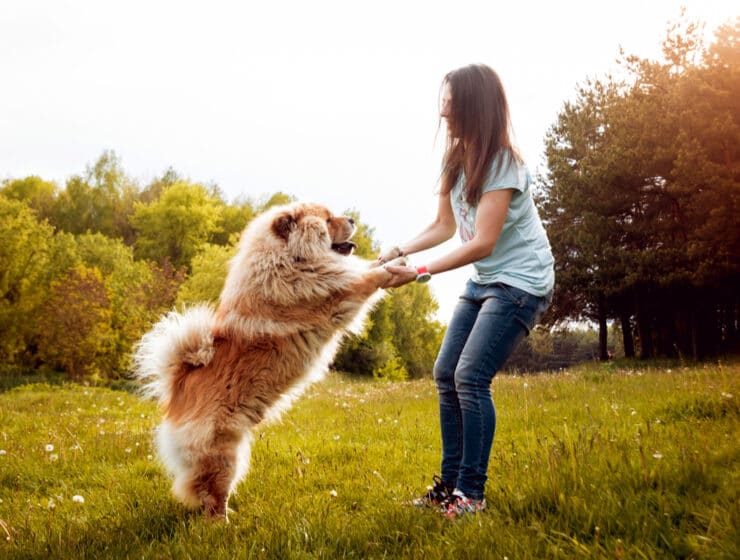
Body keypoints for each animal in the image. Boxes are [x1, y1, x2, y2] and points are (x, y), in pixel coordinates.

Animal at [132, 202, 398, 520]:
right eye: (327, 219)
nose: (352, 219)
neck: (289, 259)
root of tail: (179, 387)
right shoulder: (336, 293)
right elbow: (368, 278)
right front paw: (396, 269)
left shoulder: (337, 276)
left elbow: (363, 267)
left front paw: (393, 255)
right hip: (223, 455)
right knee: (212, 495)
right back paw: (223, 523)